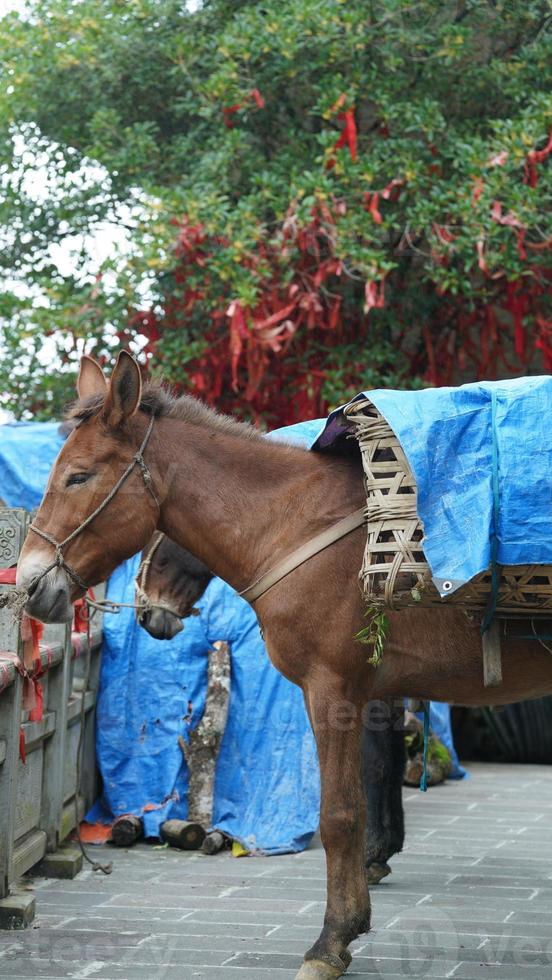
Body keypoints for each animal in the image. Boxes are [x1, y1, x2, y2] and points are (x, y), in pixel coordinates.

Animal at [136, 532, 408, 884]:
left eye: (160, 539)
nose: (145, 617)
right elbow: (393, 759)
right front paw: (385, 846)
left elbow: (376, 761)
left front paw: (372, 853)